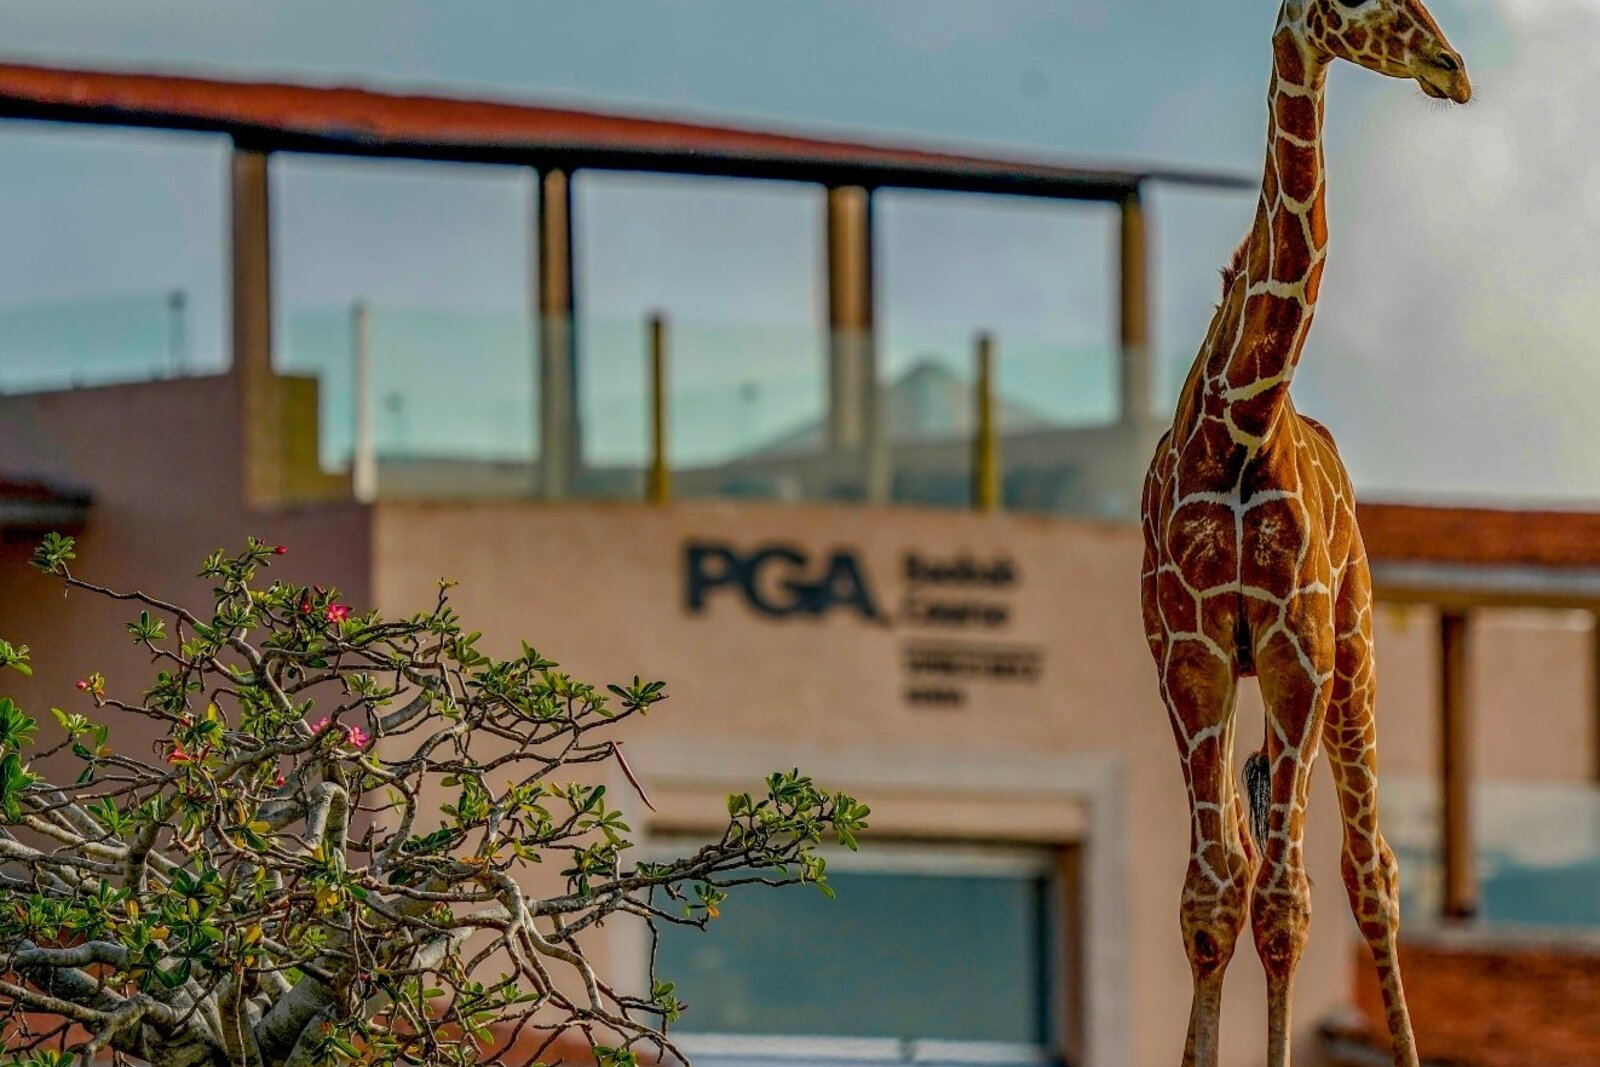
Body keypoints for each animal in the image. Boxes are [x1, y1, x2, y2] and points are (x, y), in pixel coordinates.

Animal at [1139, 2, 1469, 1066]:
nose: (1454, 68)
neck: (1241, 420)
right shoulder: (1192, 646)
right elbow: (1213, 894)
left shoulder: (1297, 645)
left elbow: (1285, 903)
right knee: (1263, 861)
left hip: (1353, 655)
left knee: (1367, 874)